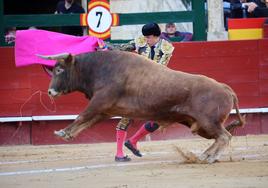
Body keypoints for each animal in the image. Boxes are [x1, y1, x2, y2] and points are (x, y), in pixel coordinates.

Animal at [37, 50, 245, 164]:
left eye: (59, 70)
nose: (50, 92)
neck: (97, 68)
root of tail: (225, 88)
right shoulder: (105, 110)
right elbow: (87, 121)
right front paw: (68, 134)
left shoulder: (100, 101)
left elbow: (82, 116)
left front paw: (62, 132)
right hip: (200, 126)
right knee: (221, 137)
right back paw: (205, 156)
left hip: (207, 122)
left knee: (224, 136)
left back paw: (207, 158)